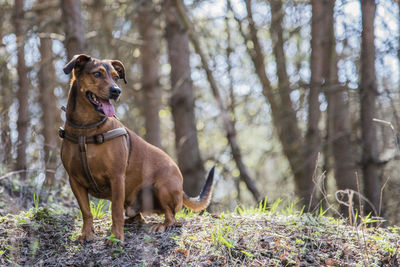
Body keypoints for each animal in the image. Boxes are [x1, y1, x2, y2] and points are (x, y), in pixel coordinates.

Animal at [59, 54, 214, 243]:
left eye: (116, 77)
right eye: (97, 74)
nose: (116, 91)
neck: (86, 128)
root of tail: (181, 187)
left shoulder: (117, 177)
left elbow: (115, 211)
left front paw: (116, 237)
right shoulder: (75, 181)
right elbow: (86, 212)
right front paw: (86, 234)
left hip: (162, 187)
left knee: (171, 216)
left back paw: (161, 225)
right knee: (139, 217)